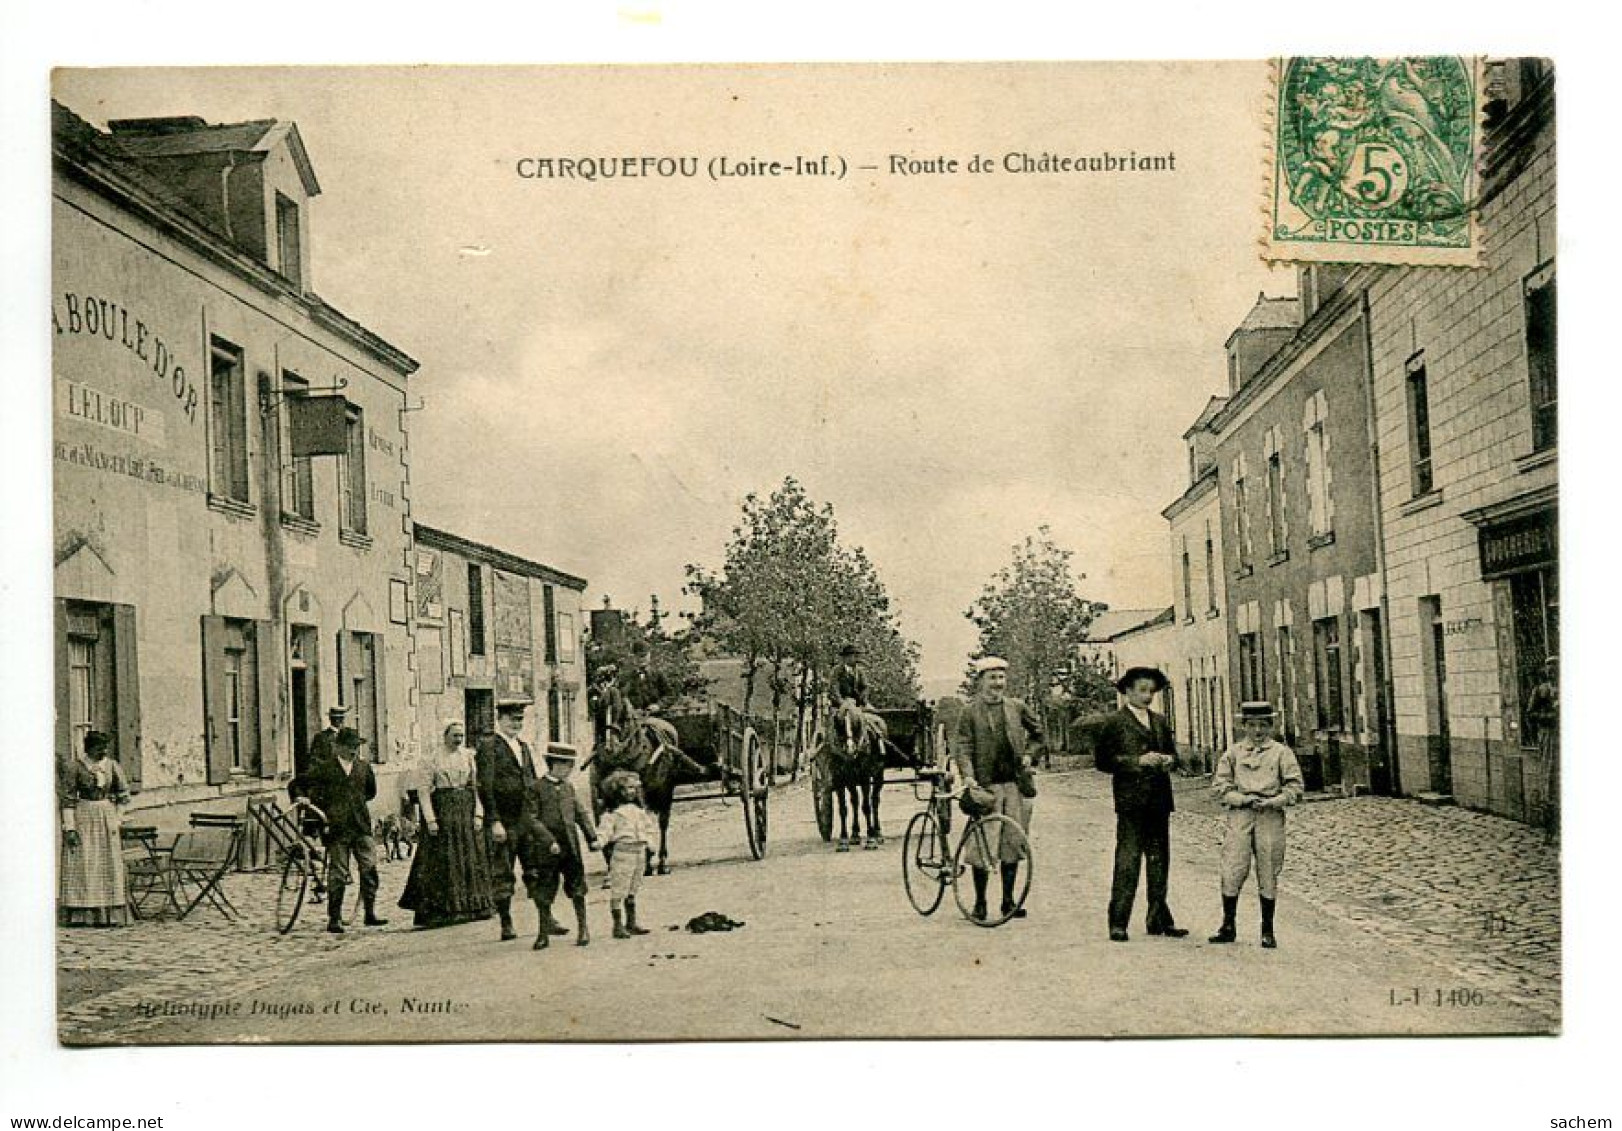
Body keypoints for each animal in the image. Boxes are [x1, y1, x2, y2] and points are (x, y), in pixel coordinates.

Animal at [836, 700, 888, 850]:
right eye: (839, 722)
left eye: (857, 722)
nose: (850, 749)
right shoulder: (840, 779)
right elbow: (843, 808)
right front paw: (843, 839)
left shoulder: (865, 777)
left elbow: (866, 806)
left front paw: (871, 838)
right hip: (852, 781)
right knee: (855, 801)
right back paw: (855, 834)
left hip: (878, 775)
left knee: (874, 800)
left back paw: (877, 832)